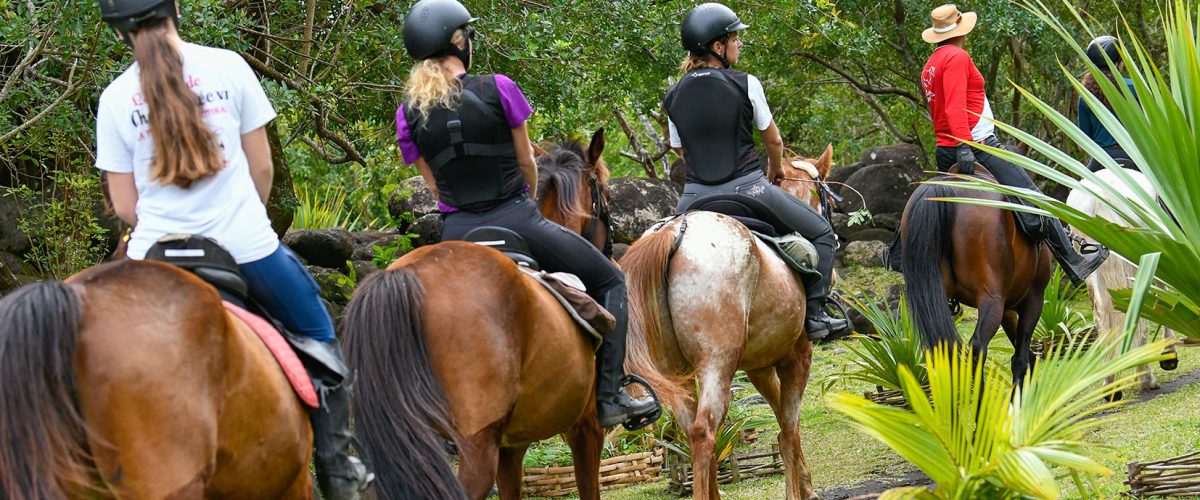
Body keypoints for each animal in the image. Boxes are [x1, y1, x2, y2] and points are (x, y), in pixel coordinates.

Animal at [619, 146, 835, 496]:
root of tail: (674, 232)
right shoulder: (797, 356)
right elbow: (789, 428)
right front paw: (800, 491)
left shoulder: (759, 366)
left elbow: (784, 423)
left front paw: (805, 484)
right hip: (717, 362)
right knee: (705, 429)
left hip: (677, 371)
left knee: (691, 431)